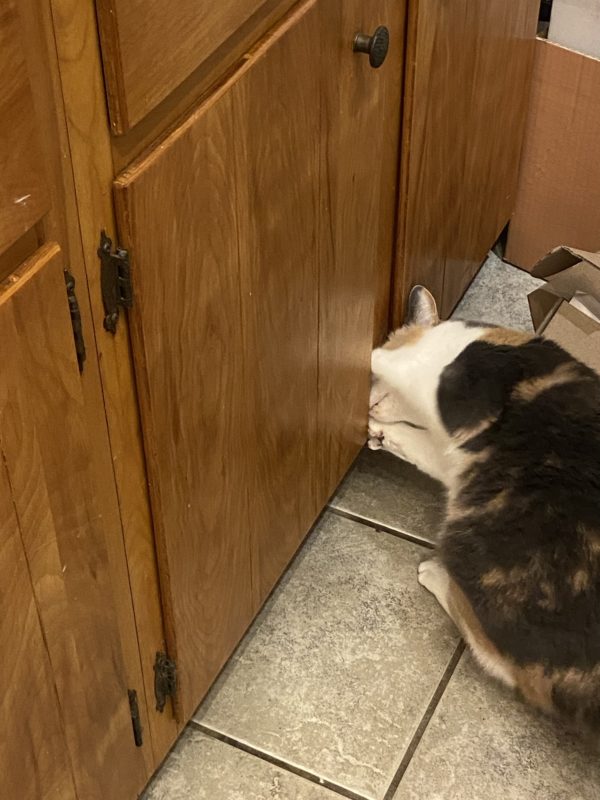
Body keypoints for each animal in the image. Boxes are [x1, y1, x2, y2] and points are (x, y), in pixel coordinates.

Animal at [370, 284, 600, 728]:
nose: (370, 403)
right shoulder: (448, 458)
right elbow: (417, 446)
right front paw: (378, 432)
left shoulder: (443, 381)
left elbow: (405, 362)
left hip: (475, 545)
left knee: (499, 659)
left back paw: (435, 573)